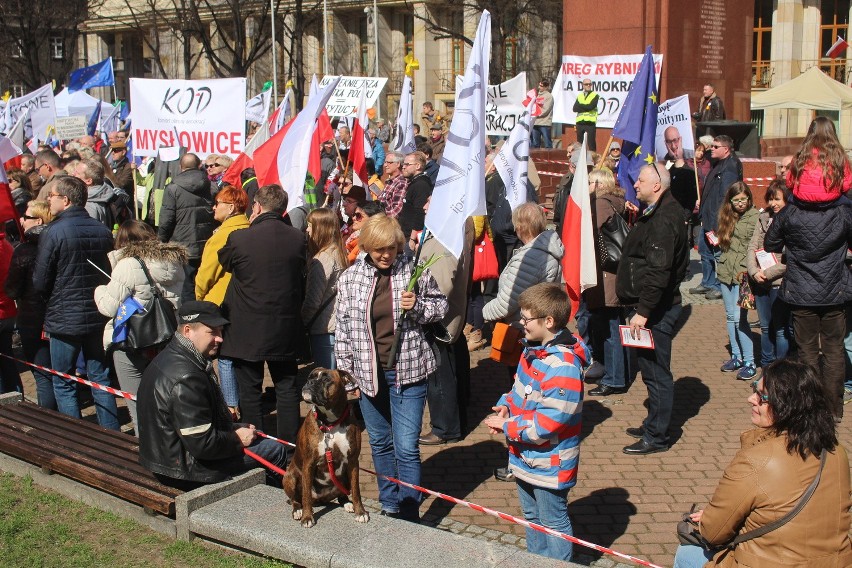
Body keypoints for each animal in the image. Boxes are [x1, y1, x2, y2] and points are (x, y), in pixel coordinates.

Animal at [282, 368, 370, 528]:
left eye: (326, 379)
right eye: (310, 377)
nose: (310, 383)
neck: (330, 423)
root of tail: (321, 499)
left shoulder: (353, 462)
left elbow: (356, 491)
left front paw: (360, 512)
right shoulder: (309, 463)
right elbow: (306, 496)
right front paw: (307, 517)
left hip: (344, 477)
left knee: (342, 494)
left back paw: (348, 503)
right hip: (289, 477)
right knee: (296, 499)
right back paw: (298, 510)